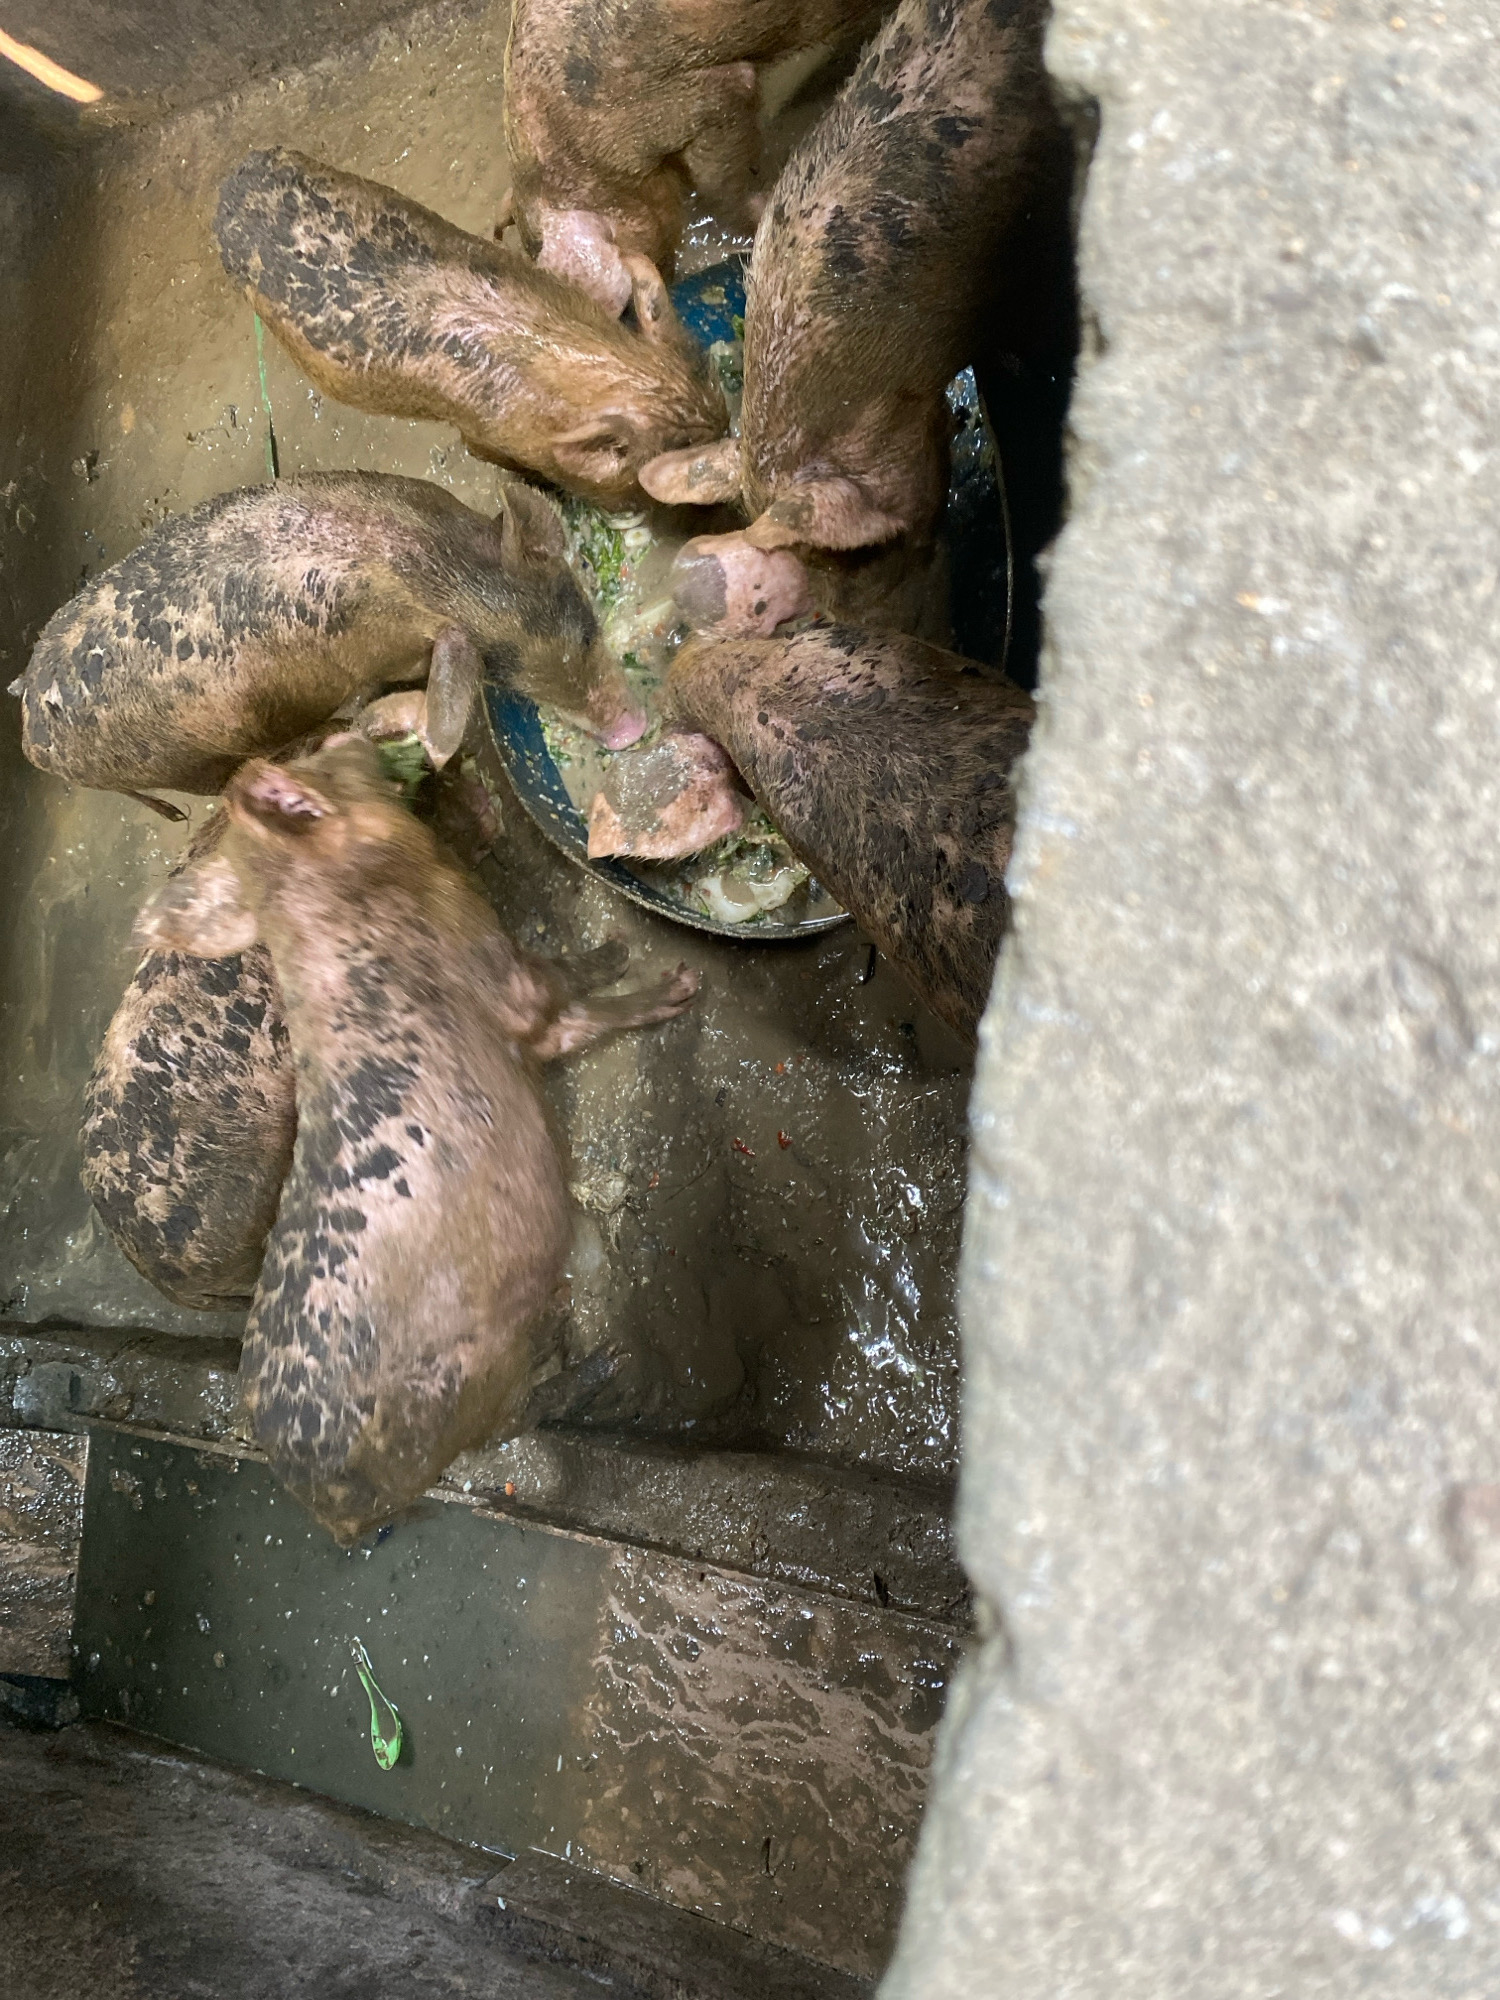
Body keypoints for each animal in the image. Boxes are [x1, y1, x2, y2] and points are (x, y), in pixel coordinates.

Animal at [13, 470, 645, 801]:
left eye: (588, 633)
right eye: (501, 671)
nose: (630, 729)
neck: (430, 574)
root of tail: (30, 741)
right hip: (189, 767)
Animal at [139, 734, 699, 1543]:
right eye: (321, 758)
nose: (358, 737)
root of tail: (331, 1508)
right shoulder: (510, 982)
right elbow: (570, 999)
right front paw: (665, 975)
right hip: (470, 1383)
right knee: (514, 1420)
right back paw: (600, 1359)